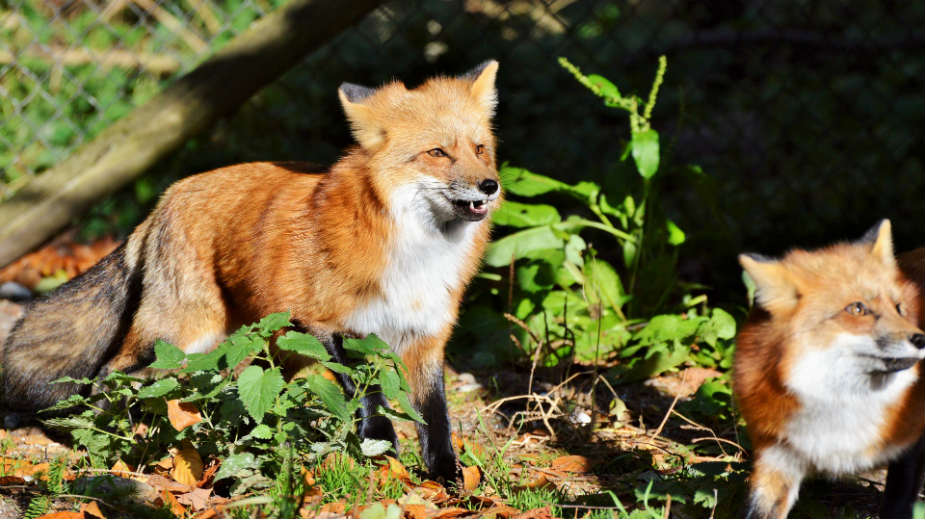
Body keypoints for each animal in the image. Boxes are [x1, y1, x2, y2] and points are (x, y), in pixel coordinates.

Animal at [1, 60, 506, 480]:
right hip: (181, 334)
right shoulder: (331, 326)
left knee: (238, 393)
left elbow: (435, 420)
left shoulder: (426, 338)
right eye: (437, 152)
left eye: (480, 148)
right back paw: (115, 439)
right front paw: (382, 458)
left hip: (271, 346)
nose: (491, 185)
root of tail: (167, 196)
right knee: (111, 372)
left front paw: (447, 480)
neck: (416, 253)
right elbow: (371, 401)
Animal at [736, 220, 924, 520]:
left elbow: (898, 503)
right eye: (857, 309)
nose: (921, 339)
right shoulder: (778, 455)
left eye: (899, 308)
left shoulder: (911, 443)